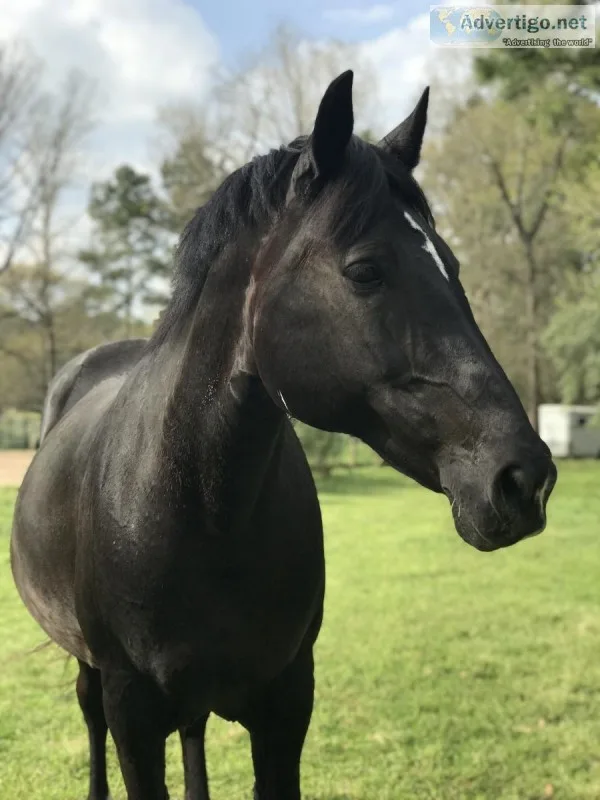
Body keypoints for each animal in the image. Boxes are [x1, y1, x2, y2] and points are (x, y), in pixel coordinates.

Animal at [11, 71, 556, 800]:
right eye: (364, 270)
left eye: (453, 266)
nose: (524, 478)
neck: (195, 505)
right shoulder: (133, 712)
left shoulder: (286, 704)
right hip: (96, 676)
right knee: (89, 713)